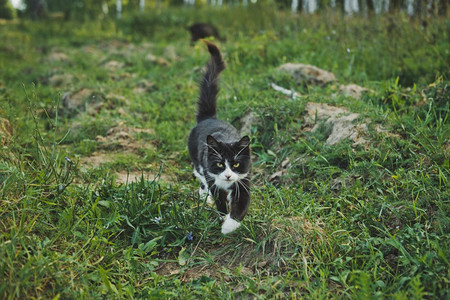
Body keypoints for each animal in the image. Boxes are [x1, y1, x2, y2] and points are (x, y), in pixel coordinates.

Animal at [185, 40, 250, 234]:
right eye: (220, 164)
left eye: (236, 164)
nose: (228, 176)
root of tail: (209, 117)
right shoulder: (212, 177)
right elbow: (219, 199)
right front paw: (223, 218)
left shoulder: (244, 180)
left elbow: (241, 204)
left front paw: (229, 226)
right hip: (197, 158)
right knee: (199, 175)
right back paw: (204, 196)